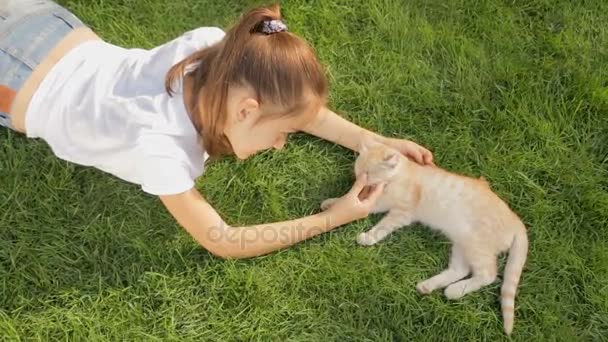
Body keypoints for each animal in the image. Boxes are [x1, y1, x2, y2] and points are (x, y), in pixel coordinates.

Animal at [324, 138, 528, 336]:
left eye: (367, 173)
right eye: (358, 171)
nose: (358, 180)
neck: (401, 176)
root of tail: (517, 221)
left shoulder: (402, 212)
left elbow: (382, 224)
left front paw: (368, 236)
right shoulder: (384, 202)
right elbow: (366, 205)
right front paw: (334, 203)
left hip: (476, 245)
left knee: (488, 274)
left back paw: (456, 290)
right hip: (461, 243)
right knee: (460, 270)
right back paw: (429, 286)